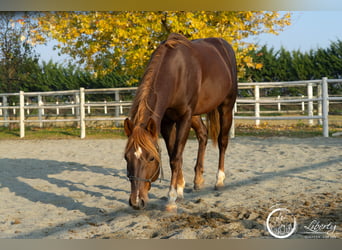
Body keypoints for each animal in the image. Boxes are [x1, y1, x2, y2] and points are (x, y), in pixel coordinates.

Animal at [123, 32, 238, 210]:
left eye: (151, 158)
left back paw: (219, 180)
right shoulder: (166, 122)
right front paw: (180, 189)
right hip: (196, 114)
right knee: (203, 134)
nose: (136, 201)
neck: (174, 73)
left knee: (222, 141)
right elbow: (173, 154)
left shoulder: (184, 117)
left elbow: (175, 158)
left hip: (225, 106)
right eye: (126, 157)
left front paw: (171, 198)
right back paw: (198, 180)